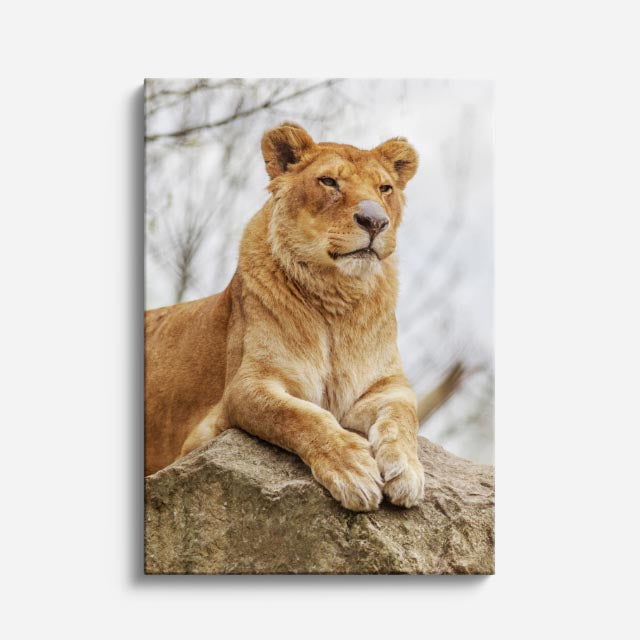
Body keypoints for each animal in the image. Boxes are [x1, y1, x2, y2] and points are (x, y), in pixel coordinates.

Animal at [145, 122, 450, 511]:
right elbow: (301, 416)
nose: (375, 221)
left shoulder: (387, 385)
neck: (337, 296)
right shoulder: (243, 389)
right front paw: (352, 469)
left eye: (385, 189)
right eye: (329, 182)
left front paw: (407, 469)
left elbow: (402, 417)